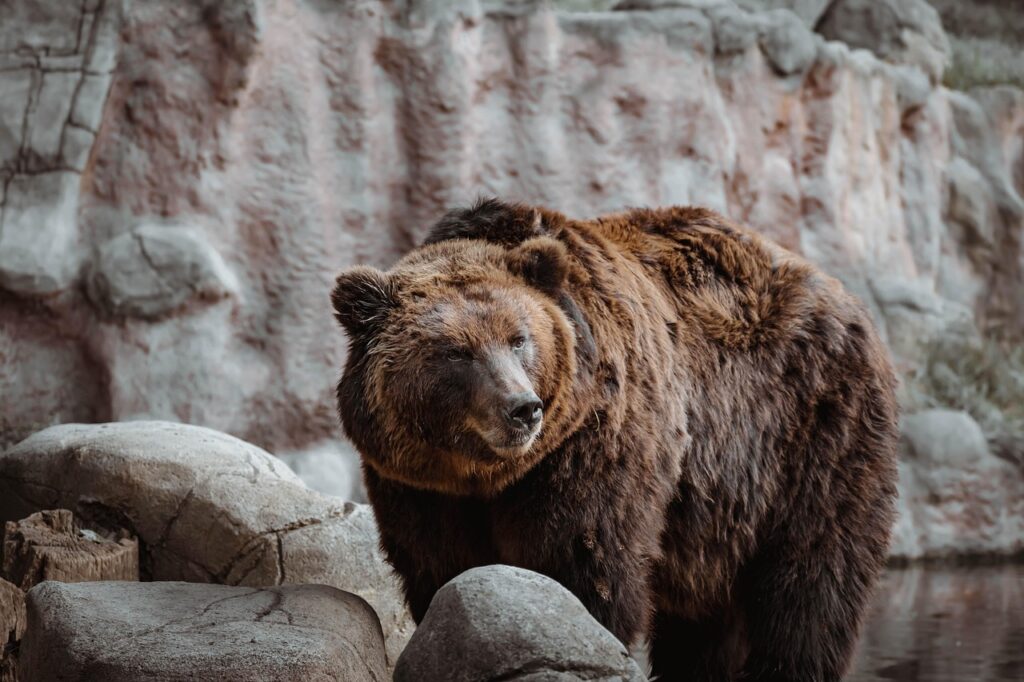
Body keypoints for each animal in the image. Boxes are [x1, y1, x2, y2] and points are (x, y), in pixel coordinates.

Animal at [331, 199, 899, 681]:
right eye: (456, 351)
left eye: (519, 339)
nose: (523, 409)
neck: (485, 474)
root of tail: (846, 298)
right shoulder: (419, 486)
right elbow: (439, 567)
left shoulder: (593, 444)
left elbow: (585, 560)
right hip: (719, 514)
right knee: (707, 620)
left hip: (810, 436)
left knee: (810, 583)